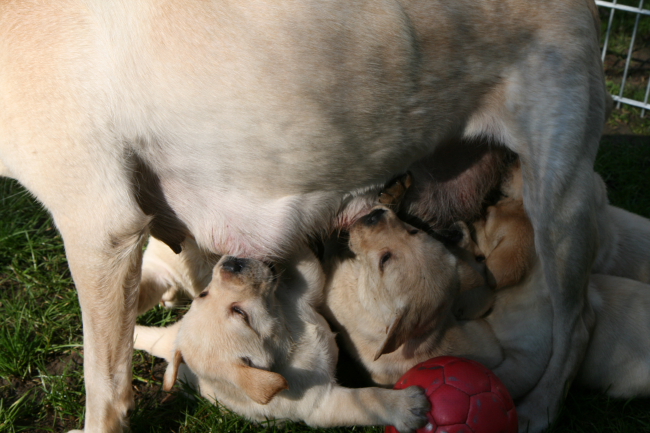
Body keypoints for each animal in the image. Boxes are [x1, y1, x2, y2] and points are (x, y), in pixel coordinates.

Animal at [133, 248, 426, 430]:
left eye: (202, 295)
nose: (232, 264)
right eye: (240, 313)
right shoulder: (321, 403)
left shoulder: (300, 294)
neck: (289, 334)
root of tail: (172, 348)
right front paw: (406, 406)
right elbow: (368, 399)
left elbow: (305, 265)